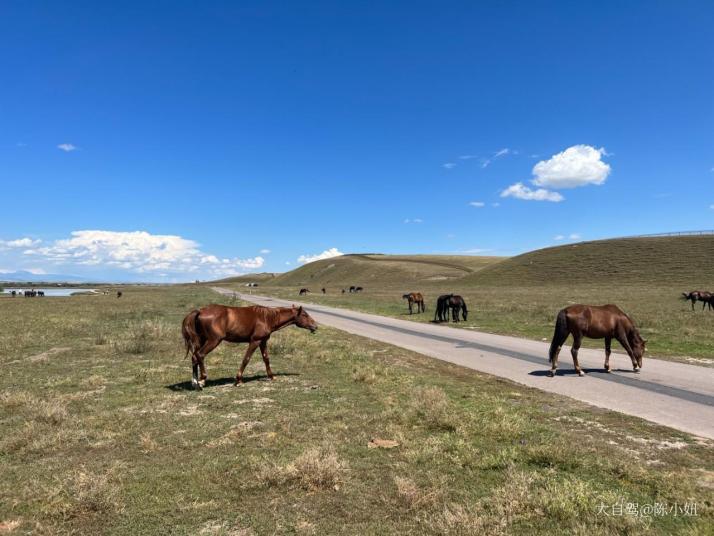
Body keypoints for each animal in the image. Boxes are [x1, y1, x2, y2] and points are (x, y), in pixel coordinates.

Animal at [181, 306, 318, 390]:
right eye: (305, 315)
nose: (315, 326)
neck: (267, 317)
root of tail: (200, 311)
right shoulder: (255, 341)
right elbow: (246, 359)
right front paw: (238, 380)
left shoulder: (263, 341)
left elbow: (266, 359)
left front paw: (271, 376)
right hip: (213, 341)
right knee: (200, 355)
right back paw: (202, 380)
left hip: (203, 340)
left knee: (194, 357)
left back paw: (195, 382)